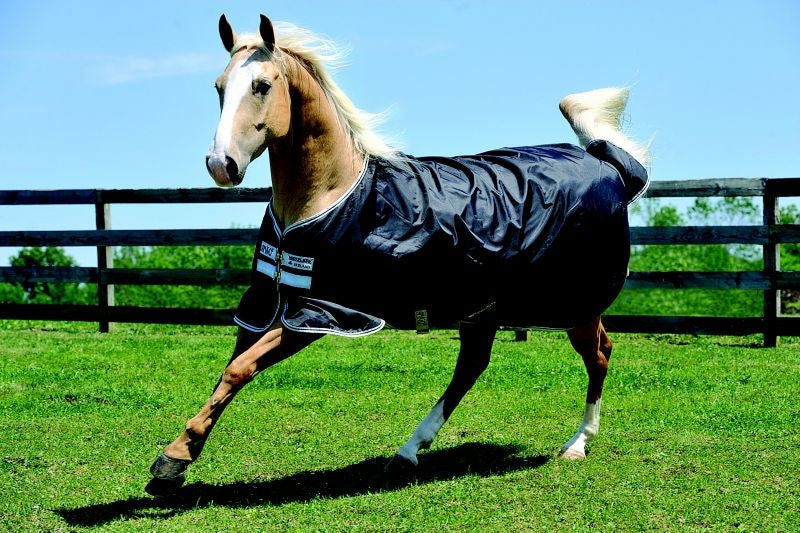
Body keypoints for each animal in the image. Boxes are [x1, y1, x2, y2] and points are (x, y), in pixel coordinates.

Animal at [146, 13, 650, 496]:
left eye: (262, 85)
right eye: (218, 86)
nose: (221, 165)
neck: (330, 196)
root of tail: (609, 165)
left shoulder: (320, 312)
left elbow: (239, 370)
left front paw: (171, 461)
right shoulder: (266, 304)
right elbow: (229, 372)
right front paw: (174, 464)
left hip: (575, 304)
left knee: (599, 354)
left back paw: (577, 443)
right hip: (482, 309)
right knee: (472, 367)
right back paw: (408, 452)